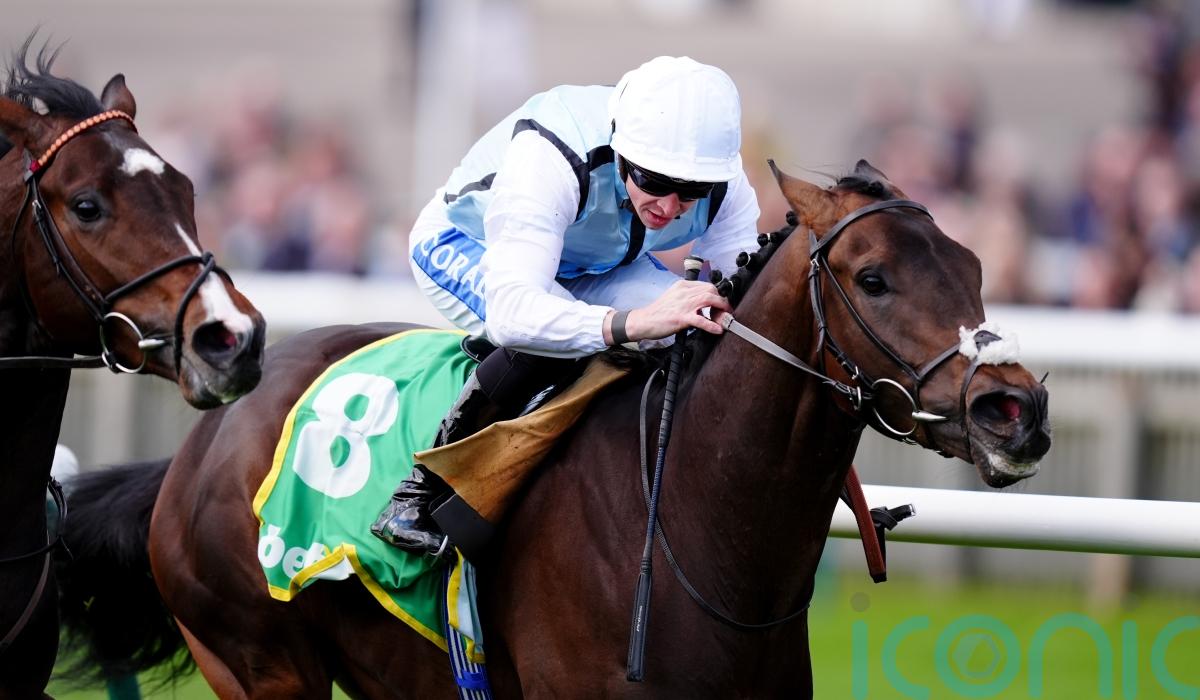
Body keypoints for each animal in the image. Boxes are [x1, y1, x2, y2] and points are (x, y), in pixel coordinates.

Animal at [56, 159, 1051, 698]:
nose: (1017, 410)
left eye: (972, 266)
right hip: (259, 664)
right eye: (875, 278)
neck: (700, 525)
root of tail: (199, 445)